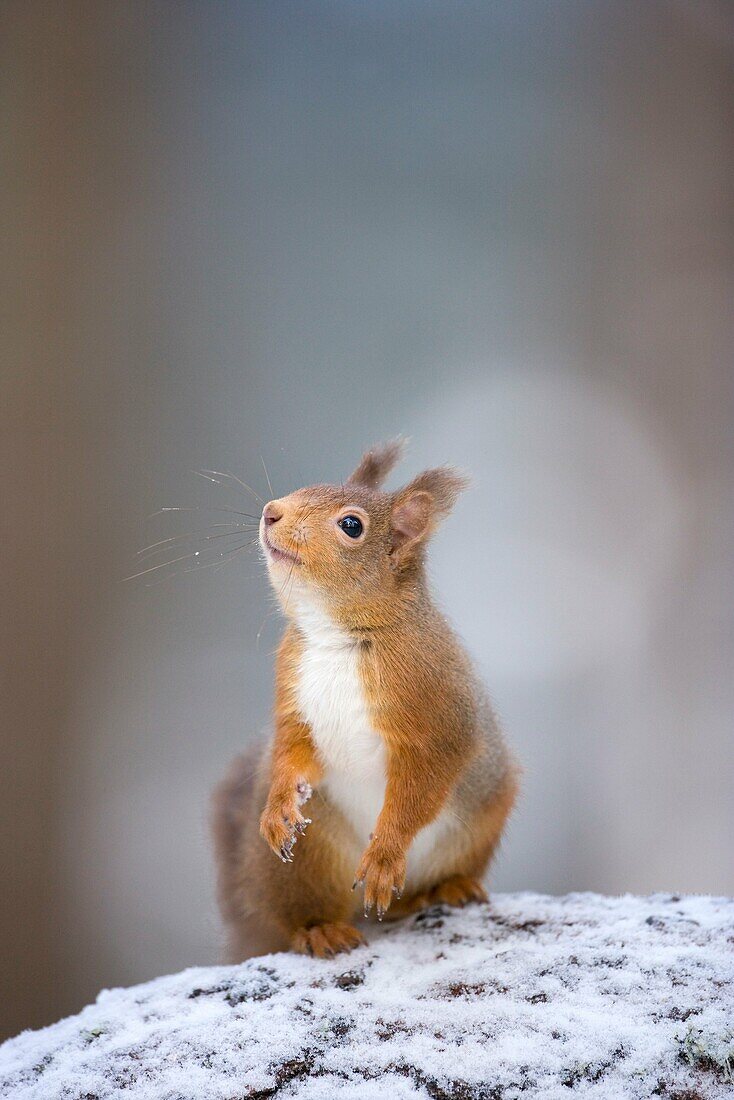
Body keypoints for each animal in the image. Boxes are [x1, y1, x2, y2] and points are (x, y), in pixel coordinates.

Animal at [215, 442, 519, 959]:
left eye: (352, 525)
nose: (271, 512)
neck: (336, 636)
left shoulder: (437, 713)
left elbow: (420, 787)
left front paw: (384, 855)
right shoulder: (292, 696)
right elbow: (291, 750)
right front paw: (280, 807)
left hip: (477, 823)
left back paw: (443, 889)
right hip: (307, 859)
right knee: (301, 912)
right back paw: (320, 929)